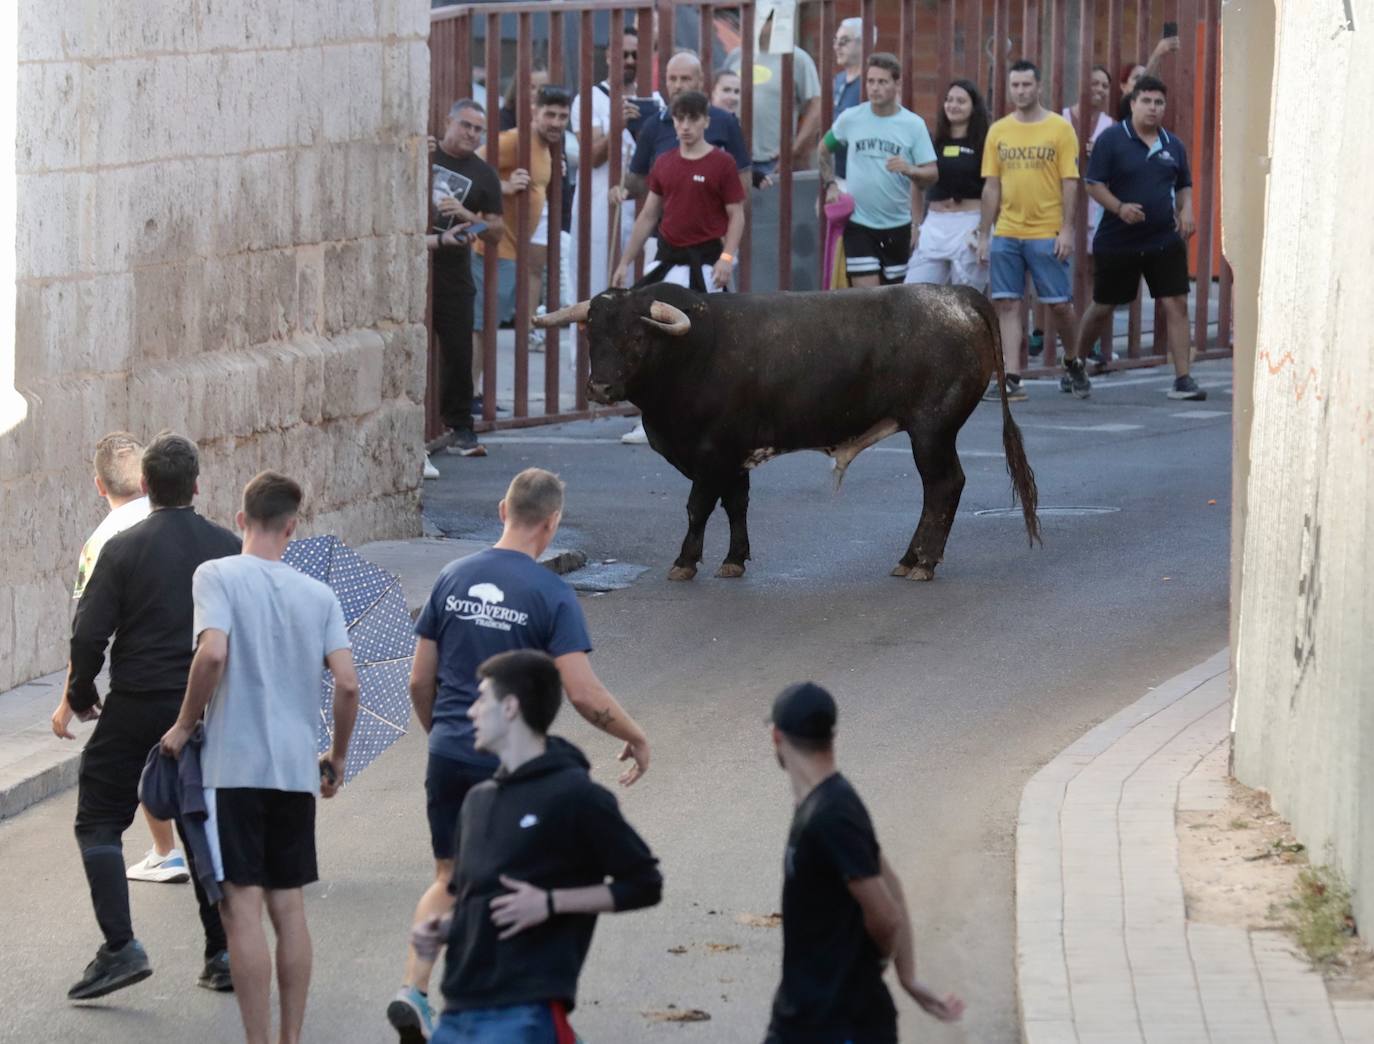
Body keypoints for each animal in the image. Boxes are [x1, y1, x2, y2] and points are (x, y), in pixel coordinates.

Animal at [535, 281, 1038, 582]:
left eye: (637, 338)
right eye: (591, 334)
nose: (600, 387)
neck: (695, 348)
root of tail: (957, 294)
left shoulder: (711, 453)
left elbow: (698, 507)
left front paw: (684, 561)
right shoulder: (734, 455)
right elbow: (736, 505)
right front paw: (734, 559)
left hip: (932, 430)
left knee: (943, 486)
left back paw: (923, 563)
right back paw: (909, 559)